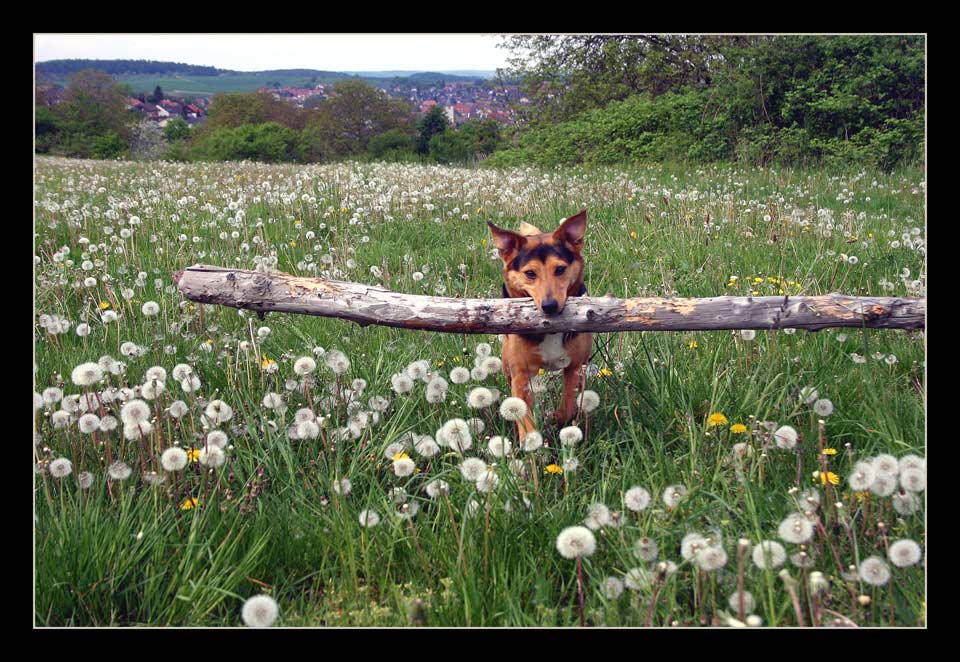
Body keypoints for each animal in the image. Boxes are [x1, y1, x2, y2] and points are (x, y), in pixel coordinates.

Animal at [488, 210, 592, 440]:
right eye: (530, 273)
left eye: (560, 269)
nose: (550, 306)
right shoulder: (521, 375)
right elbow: (523, 415)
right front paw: (530, 440)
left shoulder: (575, 367)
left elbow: (567, 407)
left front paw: (556, 418)